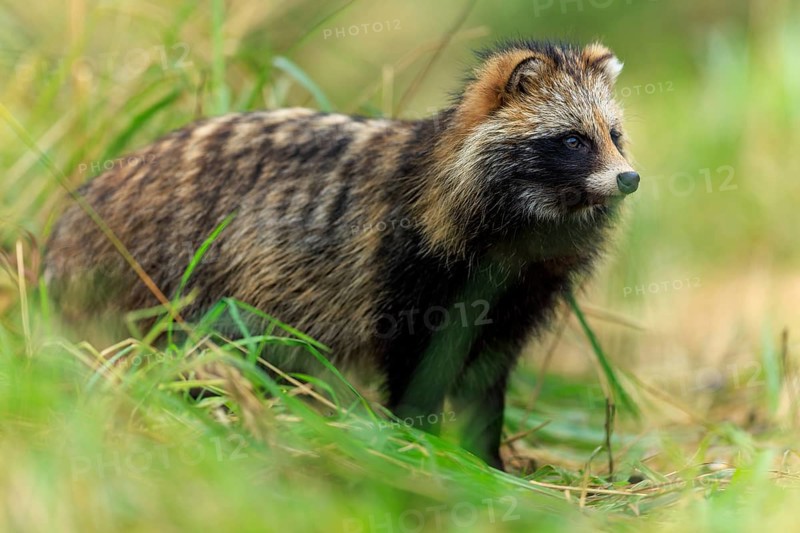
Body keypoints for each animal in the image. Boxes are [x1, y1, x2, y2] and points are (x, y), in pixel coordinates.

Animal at [45, 40, 639, 469]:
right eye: (573, 140)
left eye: (614, 135)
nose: (629, 178)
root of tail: (71, 221)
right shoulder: (407, 268)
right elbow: (415, 365)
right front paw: (418, 445)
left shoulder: (520, 295)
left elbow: (486, 377)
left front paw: (485, 458)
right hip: (168, 275)